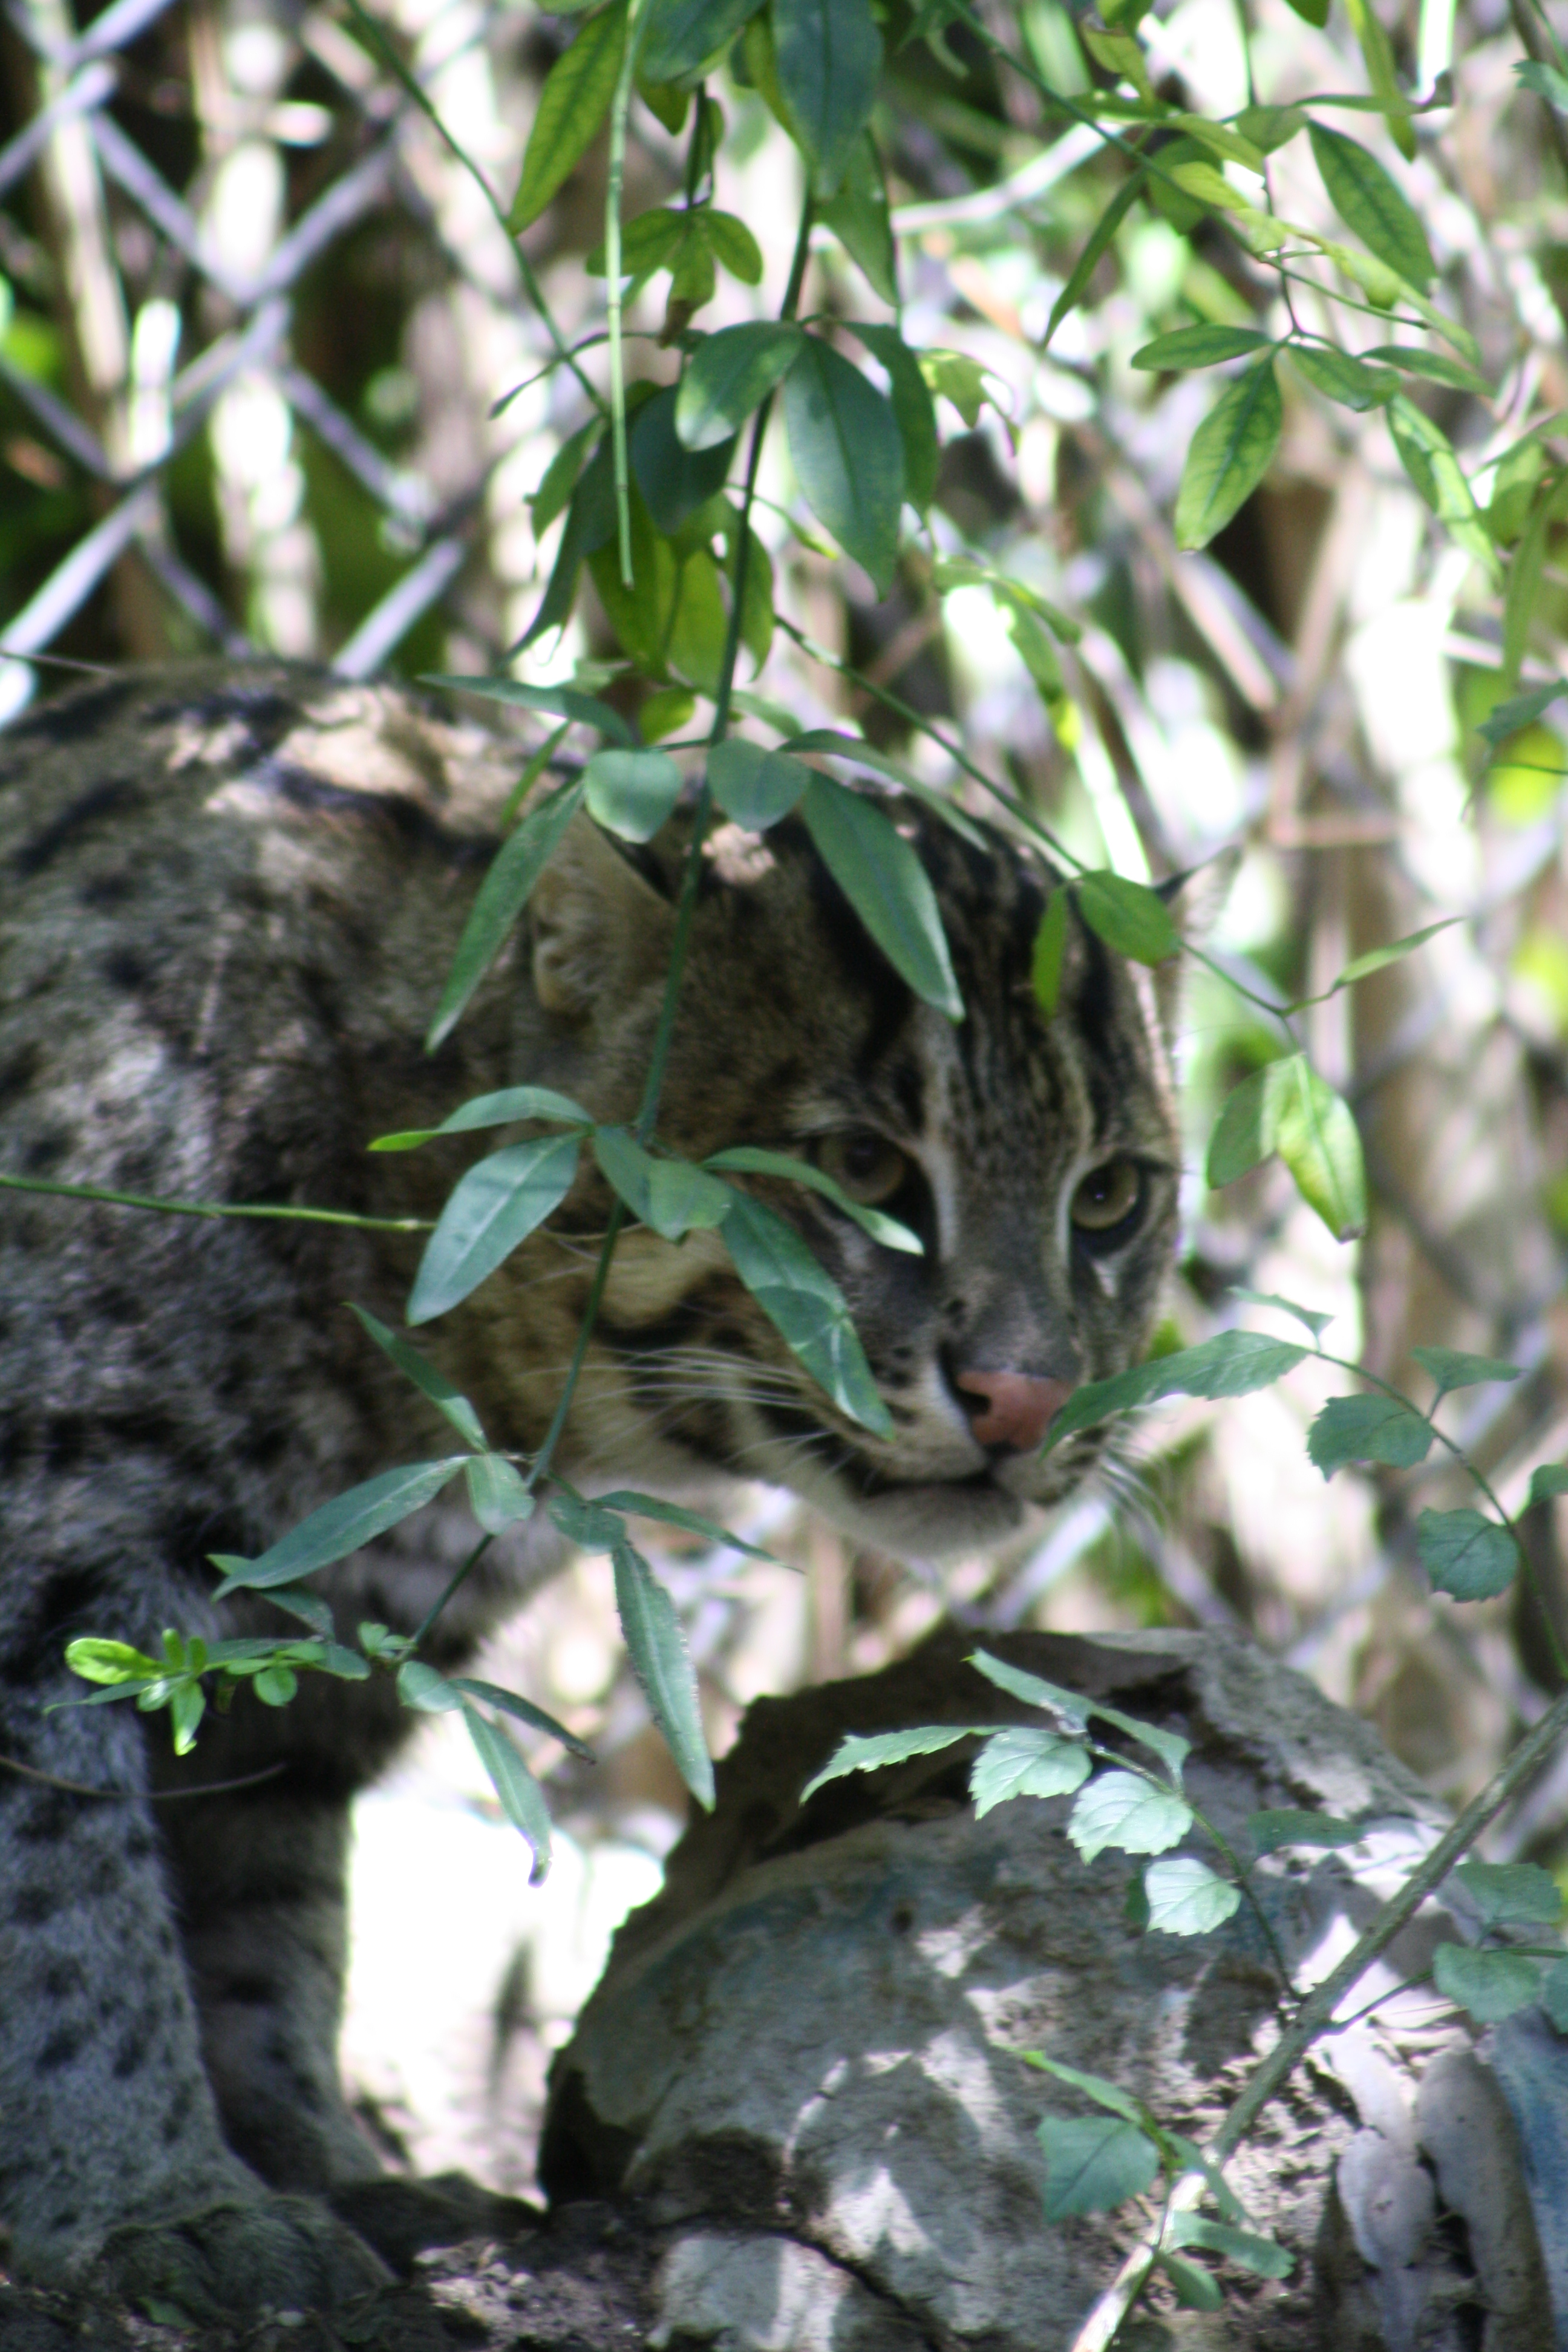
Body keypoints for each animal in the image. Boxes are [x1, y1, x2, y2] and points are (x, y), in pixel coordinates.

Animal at [0, 660, 1197, 2316]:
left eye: (1114, 1198)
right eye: (859, 1170)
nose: (1026, 1399)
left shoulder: (304, 1662)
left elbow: (264, 1927)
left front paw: (312, 2160)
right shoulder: (47, 1557)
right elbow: (64, 1907)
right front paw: (150, 2199)